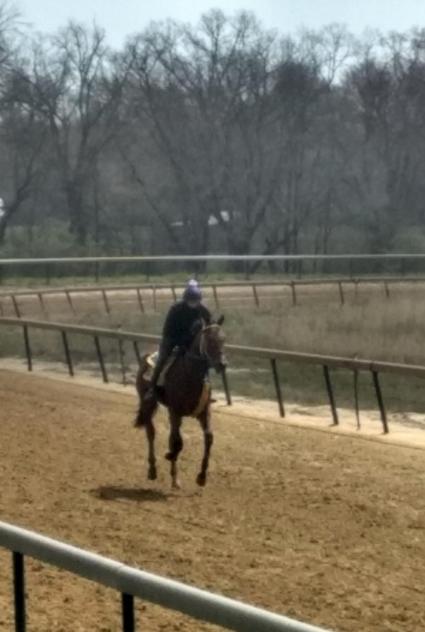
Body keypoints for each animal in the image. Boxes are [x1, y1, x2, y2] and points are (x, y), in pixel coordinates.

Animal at [134, 318, 225, 492]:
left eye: (223, 340)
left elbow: (208, 438)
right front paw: (169, 455)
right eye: (210, 340)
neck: (190, 375)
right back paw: (153, 470)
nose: (223, 364)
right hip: (147, 403)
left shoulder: (204, 412)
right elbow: (177, 443)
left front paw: (202, 477)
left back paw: (174, 480)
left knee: (170, 437)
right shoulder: (175, 412)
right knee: (151, 433)